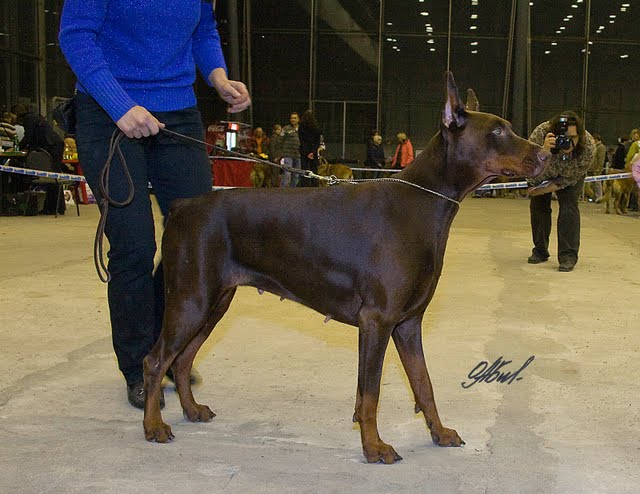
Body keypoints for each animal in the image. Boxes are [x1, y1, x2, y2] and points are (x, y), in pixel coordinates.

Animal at [142, 72, 548, 464]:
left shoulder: (408, 322)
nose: (547, 155)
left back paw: (191, 410)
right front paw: (374, 447)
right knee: (156, 360)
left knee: (183, 359)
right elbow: (370, 394)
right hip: (191, 298)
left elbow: (423, 384)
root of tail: (181, 206)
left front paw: (439, 432)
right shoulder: (377, 320)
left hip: (215, 301)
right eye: (497, 131)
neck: (424, 202)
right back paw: (153, 425)